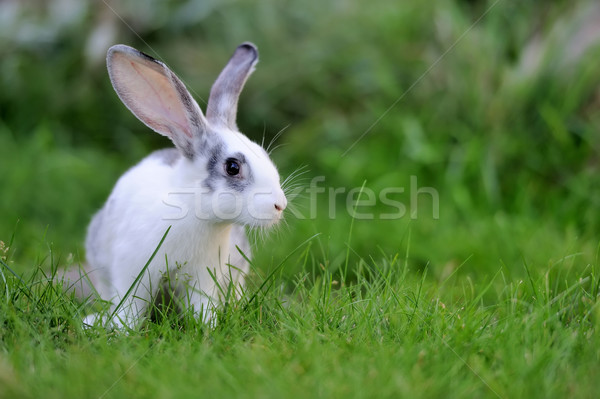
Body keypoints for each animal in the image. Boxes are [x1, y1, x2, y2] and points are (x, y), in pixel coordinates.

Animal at [76, 42, 288, 330]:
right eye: (233, 167)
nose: (280, 205)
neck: (194, 212)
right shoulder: (131, 269)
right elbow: (130, 306)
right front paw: (123, 329)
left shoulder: (204, 277)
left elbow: (202, 305)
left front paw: (208, 327)